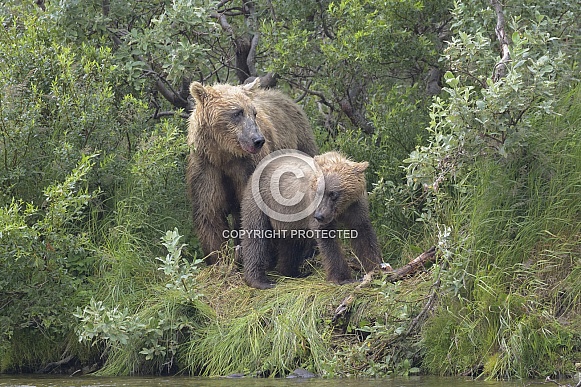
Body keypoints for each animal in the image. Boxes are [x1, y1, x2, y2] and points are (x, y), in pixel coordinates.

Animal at [187, 80, 318, 266]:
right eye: (237, 112)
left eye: (254, 113)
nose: (258, 140)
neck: (224, 155)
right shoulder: (207, 168)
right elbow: (210, 212)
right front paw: (218, 258)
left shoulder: (247, 168)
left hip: (302, 143)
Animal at [239, 150, 380, 290]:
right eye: (319, 192)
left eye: (333, 194)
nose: (319, 216)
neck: (341, 209)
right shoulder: (312, 206)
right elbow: (328, 242)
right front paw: (343, 278)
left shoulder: (355, 206)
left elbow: (363, 234)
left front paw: (376, 268)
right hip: (261, 200)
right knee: (256, 237)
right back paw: (261, 281)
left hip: (290, 218)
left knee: (292, 242)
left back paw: (292, 272)